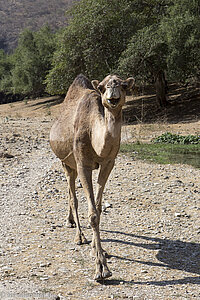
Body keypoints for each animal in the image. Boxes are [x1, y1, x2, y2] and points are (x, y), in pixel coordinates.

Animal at [49, 74, 134, 280]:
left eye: (124, 85)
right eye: (102, 87)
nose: (113, 96)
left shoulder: (109, 162)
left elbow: (99, 208)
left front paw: (98, 250)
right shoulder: (82, 164)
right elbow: (92, 214)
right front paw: (101, 269)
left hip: (71, 165)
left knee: (71, 194)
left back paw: (70, 221)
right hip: (66, 163)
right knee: (72, 197)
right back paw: (79, 236)